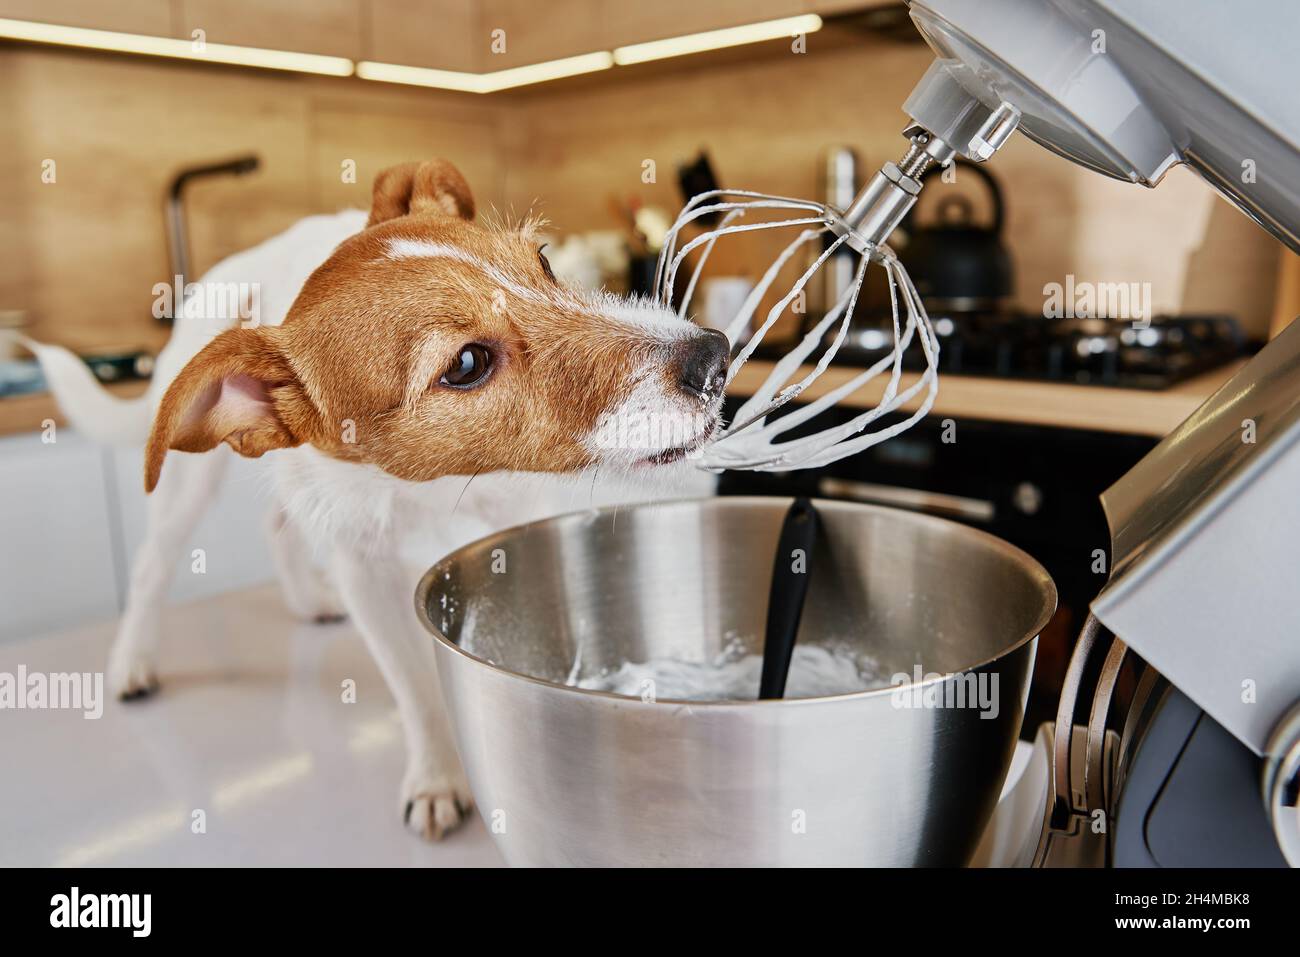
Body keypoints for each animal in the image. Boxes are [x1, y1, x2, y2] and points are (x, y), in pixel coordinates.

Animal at [38, 158, 733, 837]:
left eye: (545, 264)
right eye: (467, 364)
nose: (715, 358)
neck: (437, 488)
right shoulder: (364, 572)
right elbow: (414, 689)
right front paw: (436, 778)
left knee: (275, 526)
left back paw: (304, 600)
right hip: (186, 490)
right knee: (153, 565)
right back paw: (133, 661)